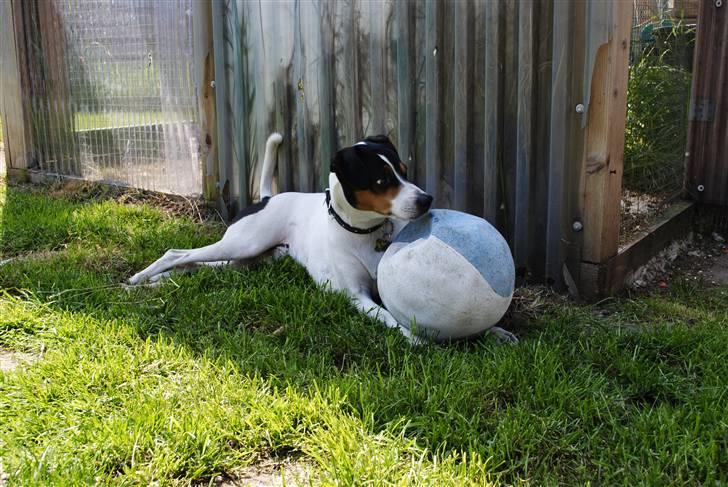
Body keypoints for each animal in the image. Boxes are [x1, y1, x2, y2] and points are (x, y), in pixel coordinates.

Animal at [129, 133, 516, 346]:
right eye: (381, 181)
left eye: (405, 172)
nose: (426, 199)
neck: (365, 234)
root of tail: (268, 197)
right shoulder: (355, 297)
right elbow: (389, 317)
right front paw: (415, 338)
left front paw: (496, 332)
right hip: (244, 242)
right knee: (178, 252)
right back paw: (138, 279)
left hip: (248, 259)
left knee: (197, 265)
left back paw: (157, 283)